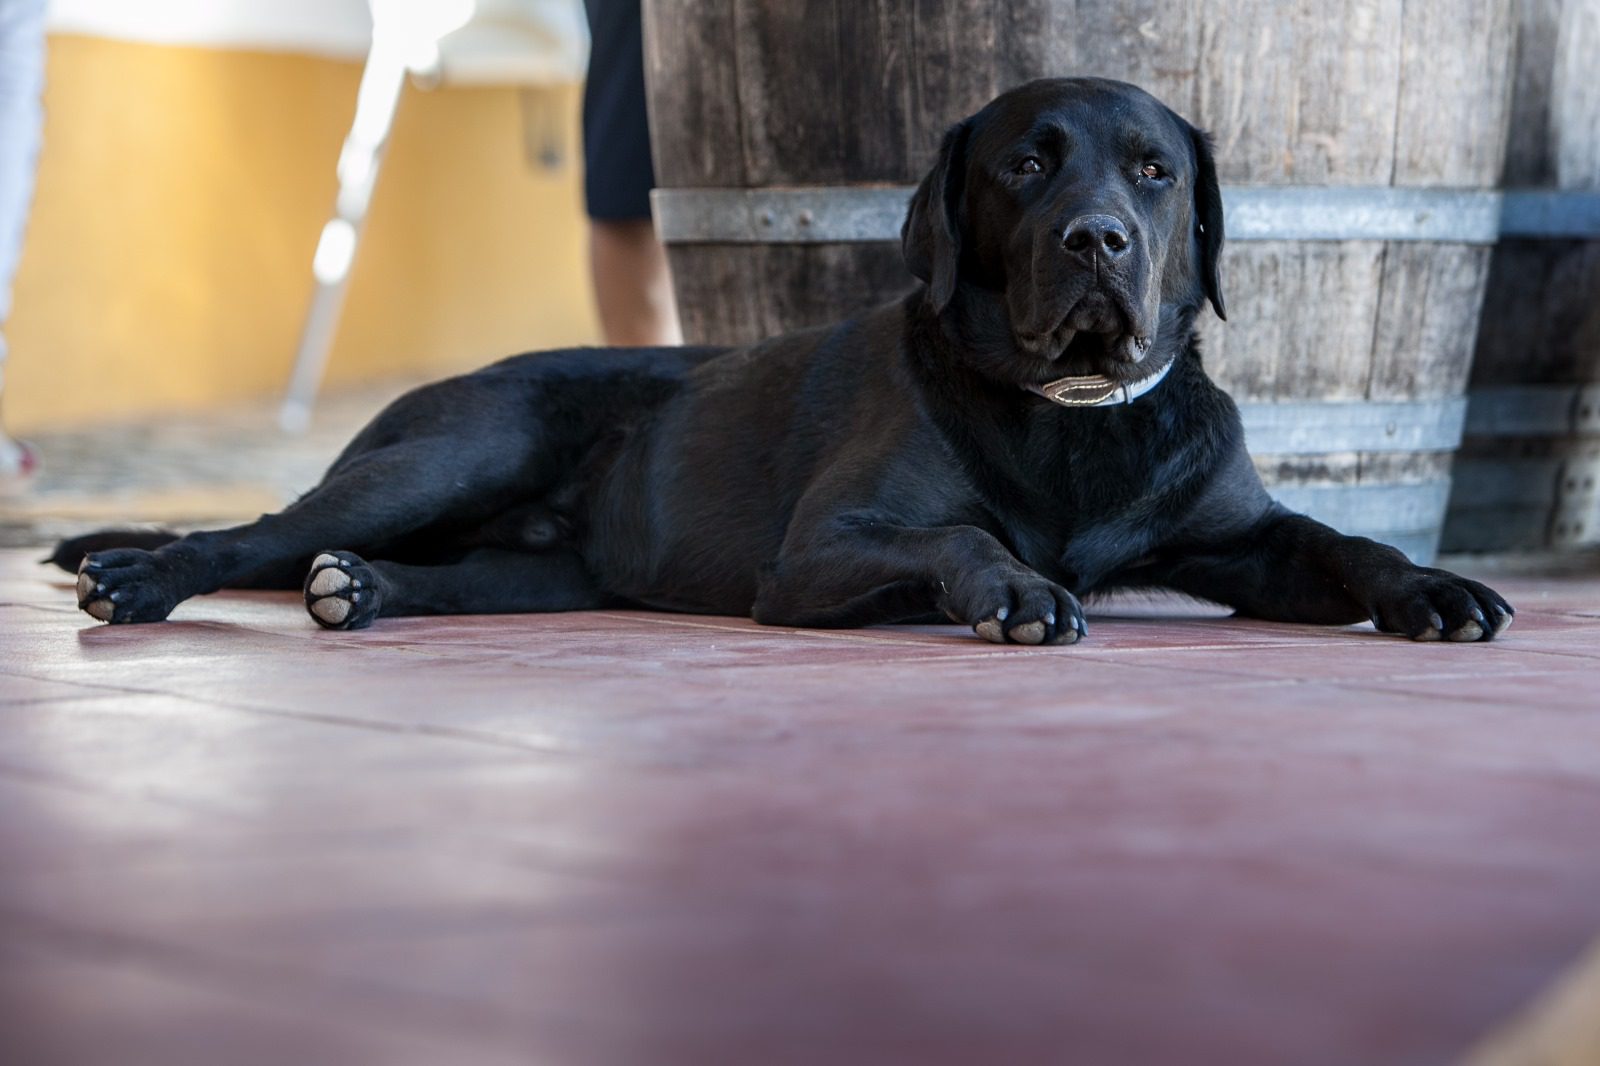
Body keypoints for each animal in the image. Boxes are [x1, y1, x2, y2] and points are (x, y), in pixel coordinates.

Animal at [59, 78, 1510, 643]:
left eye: (1154, 172)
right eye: (1026, 164)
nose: (1098, 239)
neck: (1073, 417)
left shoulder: (1241, 541)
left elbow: (1343, 544)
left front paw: (1432, 584)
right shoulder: (818, 553)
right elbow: (964, 537)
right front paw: (1016, 587)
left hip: (548, 570)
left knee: (411, 570)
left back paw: (360, 588)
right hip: (462, 446)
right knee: (250, 530)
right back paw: (141, 576)